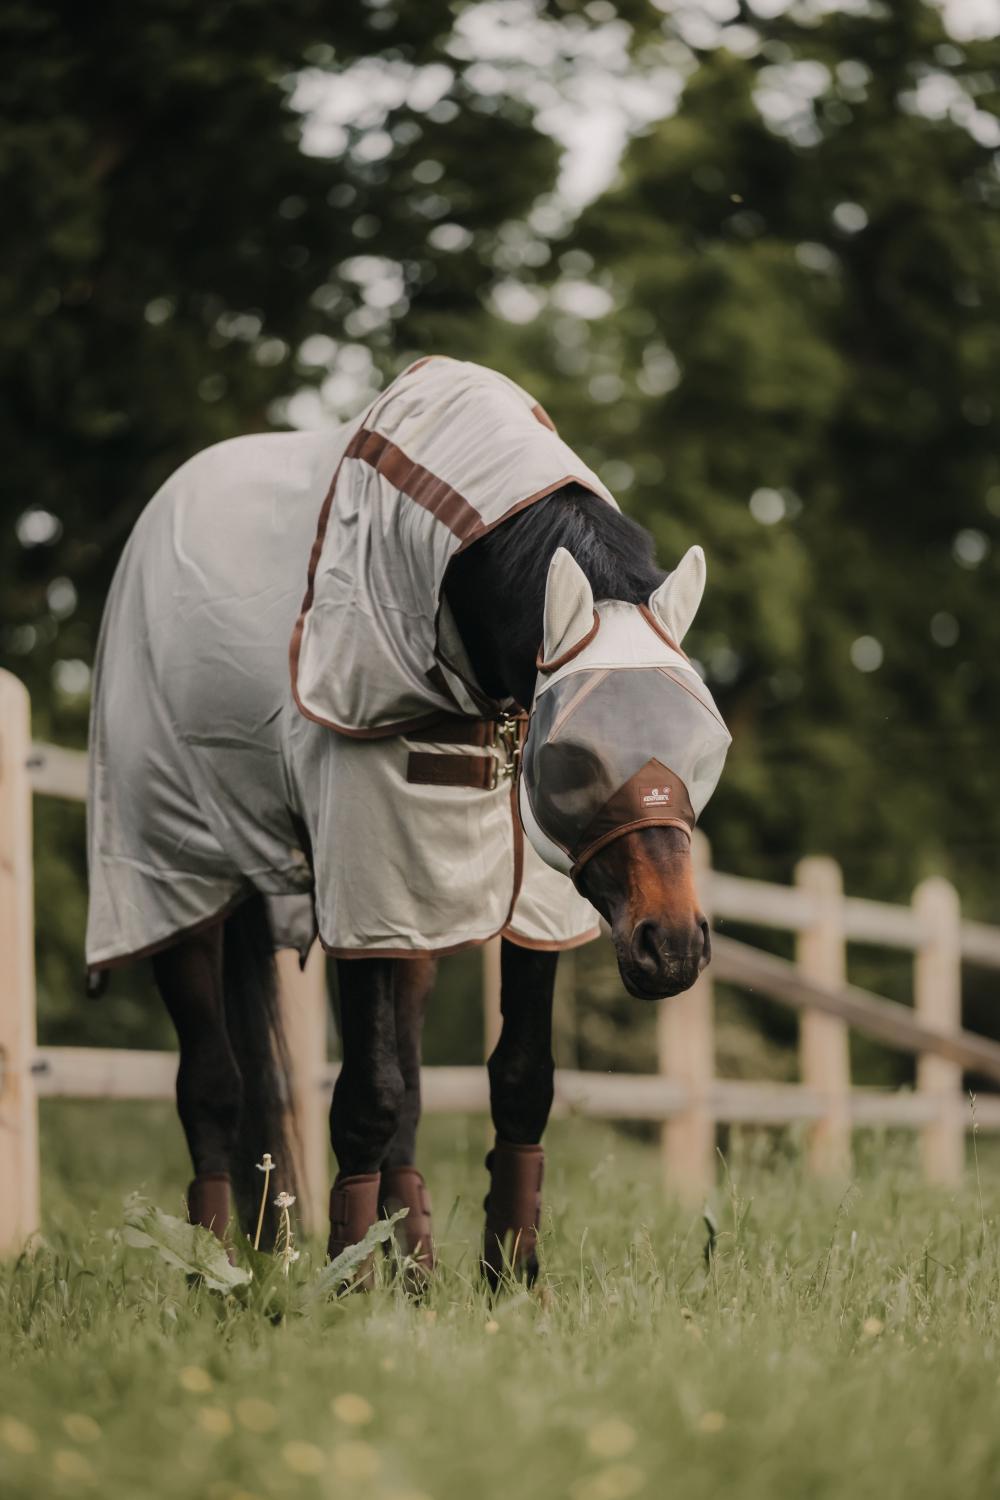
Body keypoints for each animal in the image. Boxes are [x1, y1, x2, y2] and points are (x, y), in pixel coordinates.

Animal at [86, 357, 728, 1284]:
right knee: (210, 1085)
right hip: (173, 875)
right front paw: (347, 1278)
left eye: (705, 741)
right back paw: (222, 1271)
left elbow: (517, 1077)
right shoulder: (364, 880)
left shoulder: (524, 895)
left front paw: (510, 1278)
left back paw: (413, 1268)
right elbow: (365, 1097)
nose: (671, 945)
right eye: (573, 753)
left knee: (408, 1087)